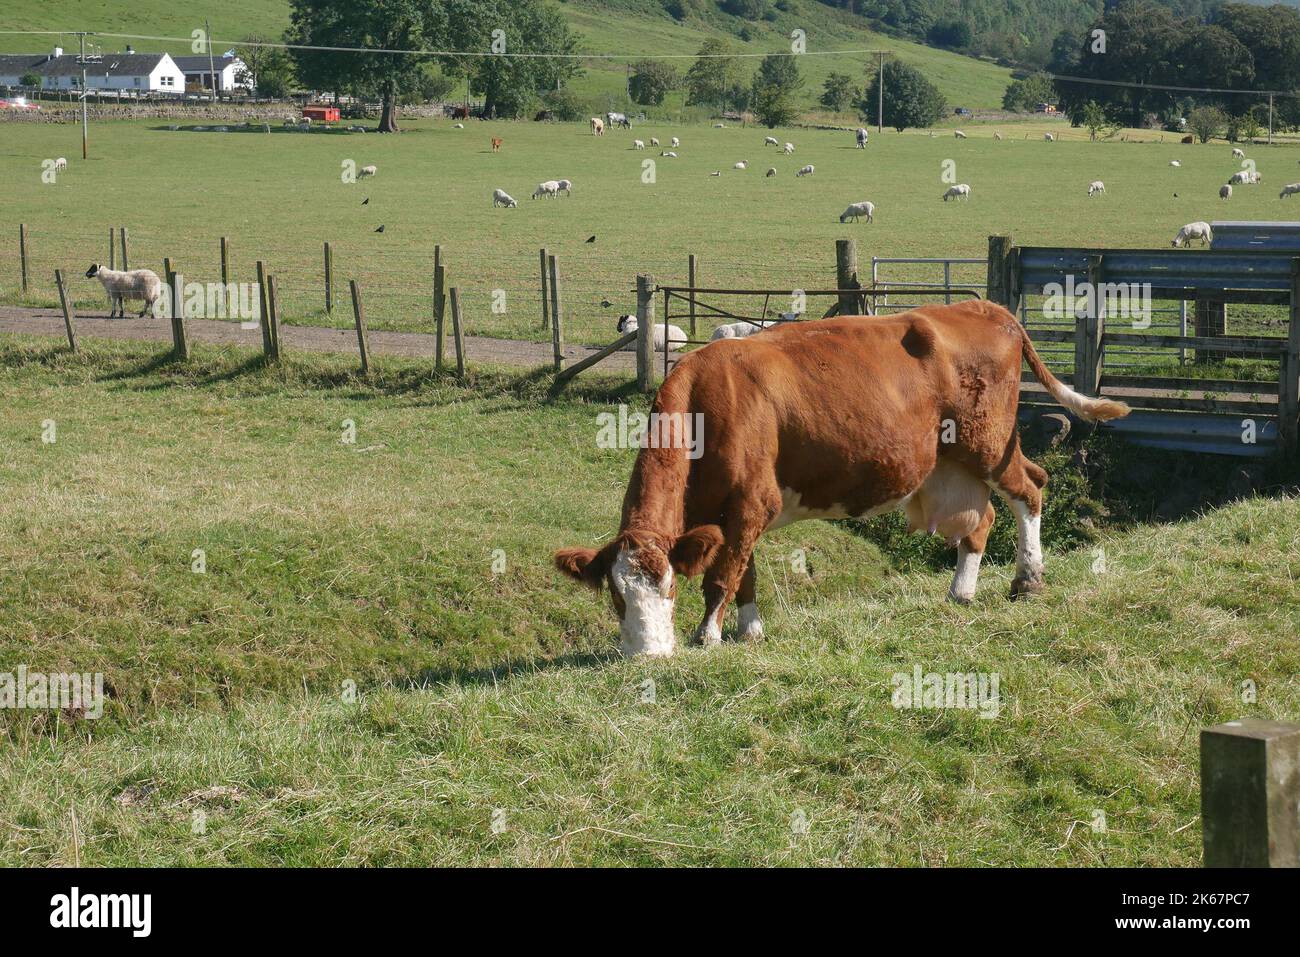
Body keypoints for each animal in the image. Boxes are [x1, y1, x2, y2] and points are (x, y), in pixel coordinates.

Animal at [553, 300, 1133, 657]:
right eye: (616, 595)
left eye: (669, 587)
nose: (647, 654)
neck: (708, 403)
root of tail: (985, 308)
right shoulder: (725, 515)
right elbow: (745, 572)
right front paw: (750, 630)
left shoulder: (750, 503)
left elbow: (723, 575)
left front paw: (707, 635)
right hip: (949, 466)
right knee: (982, 518)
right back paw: (961, 592)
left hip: (988, 444)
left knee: (1030, 490)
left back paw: (1029, 579)